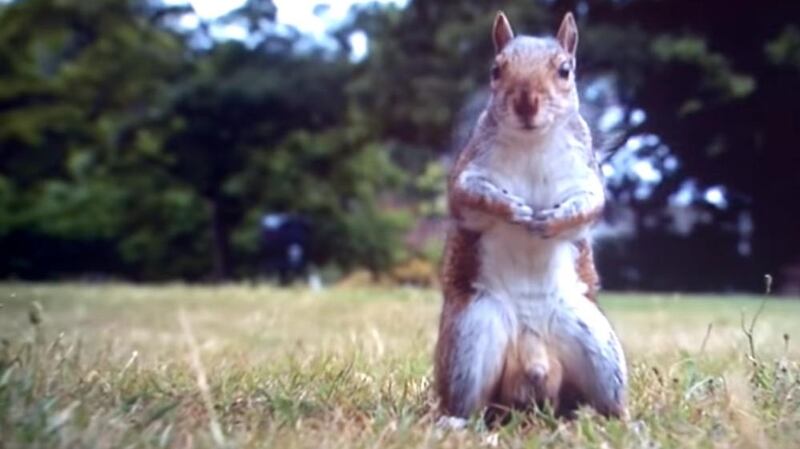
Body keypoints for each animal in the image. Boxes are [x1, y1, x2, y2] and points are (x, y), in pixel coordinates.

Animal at [434, 12, 627, 424]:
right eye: (495, 70)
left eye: (565, 70)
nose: (526, 102)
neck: (532, 141)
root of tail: (535, 366)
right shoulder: (469, 170)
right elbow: (470, 195)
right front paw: (513, 209)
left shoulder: (587, 176)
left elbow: (590, 206)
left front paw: (553, 221)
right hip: (470, 338)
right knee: (467, 401)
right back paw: (454, 422)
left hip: (596, 343)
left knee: (606, 400)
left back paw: (621, 422)